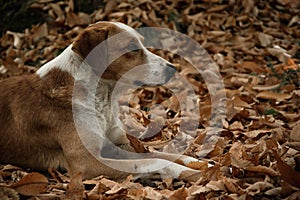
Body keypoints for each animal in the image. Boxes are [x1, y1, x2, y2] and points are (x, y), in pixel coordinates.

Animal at [0, 21, 204, 181]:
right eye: (131, 47)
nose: (172, 68)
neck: (101, 98)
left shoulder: (117, 144)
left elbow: (162, 153)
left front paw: (199, 163)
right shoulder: (87, 163)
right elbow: (154, 161)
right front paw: (191, 173)